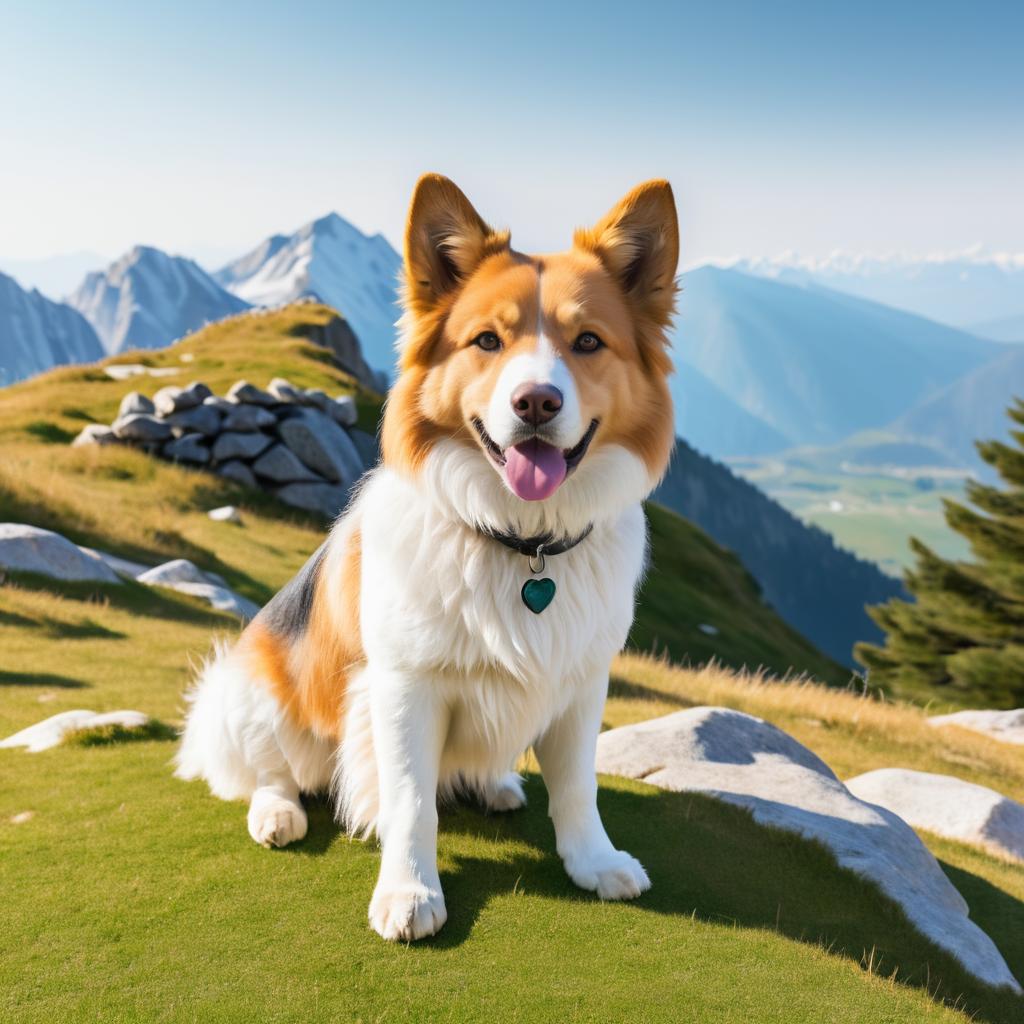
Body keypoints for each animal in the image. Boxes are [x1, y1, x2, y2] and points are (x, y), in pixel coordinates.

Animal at [176, 172, 679, 937]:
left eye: (589, 341)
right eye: (487, 340)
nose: (536, 402)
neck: (521, 543)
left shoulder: (582, 681)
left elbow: (577, 787)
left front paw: (593, 862)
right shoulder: (405, 687)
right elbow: (412, 802)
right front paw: (409, 892)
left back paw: (495, 782)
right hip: (254, 690)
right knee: (269, 769)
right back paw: (278, 813)